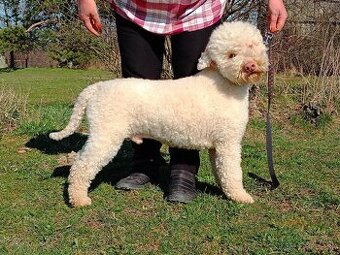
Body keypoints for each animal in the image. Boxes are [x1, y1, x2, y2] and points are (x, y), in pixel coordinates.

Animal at [49, 21, 268, 207]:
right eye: (231, 55)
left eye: (251, 45)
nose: (250, 66)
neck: (224, 82)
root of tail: (97, 88)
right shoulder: (228, 143)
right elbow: (232, 172)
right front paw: (241, 196)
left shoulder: (218, 145)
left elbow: (221, 171)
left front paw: (226, 191)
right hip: (106, 135)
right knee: (81, 166)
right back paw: (79, 199)